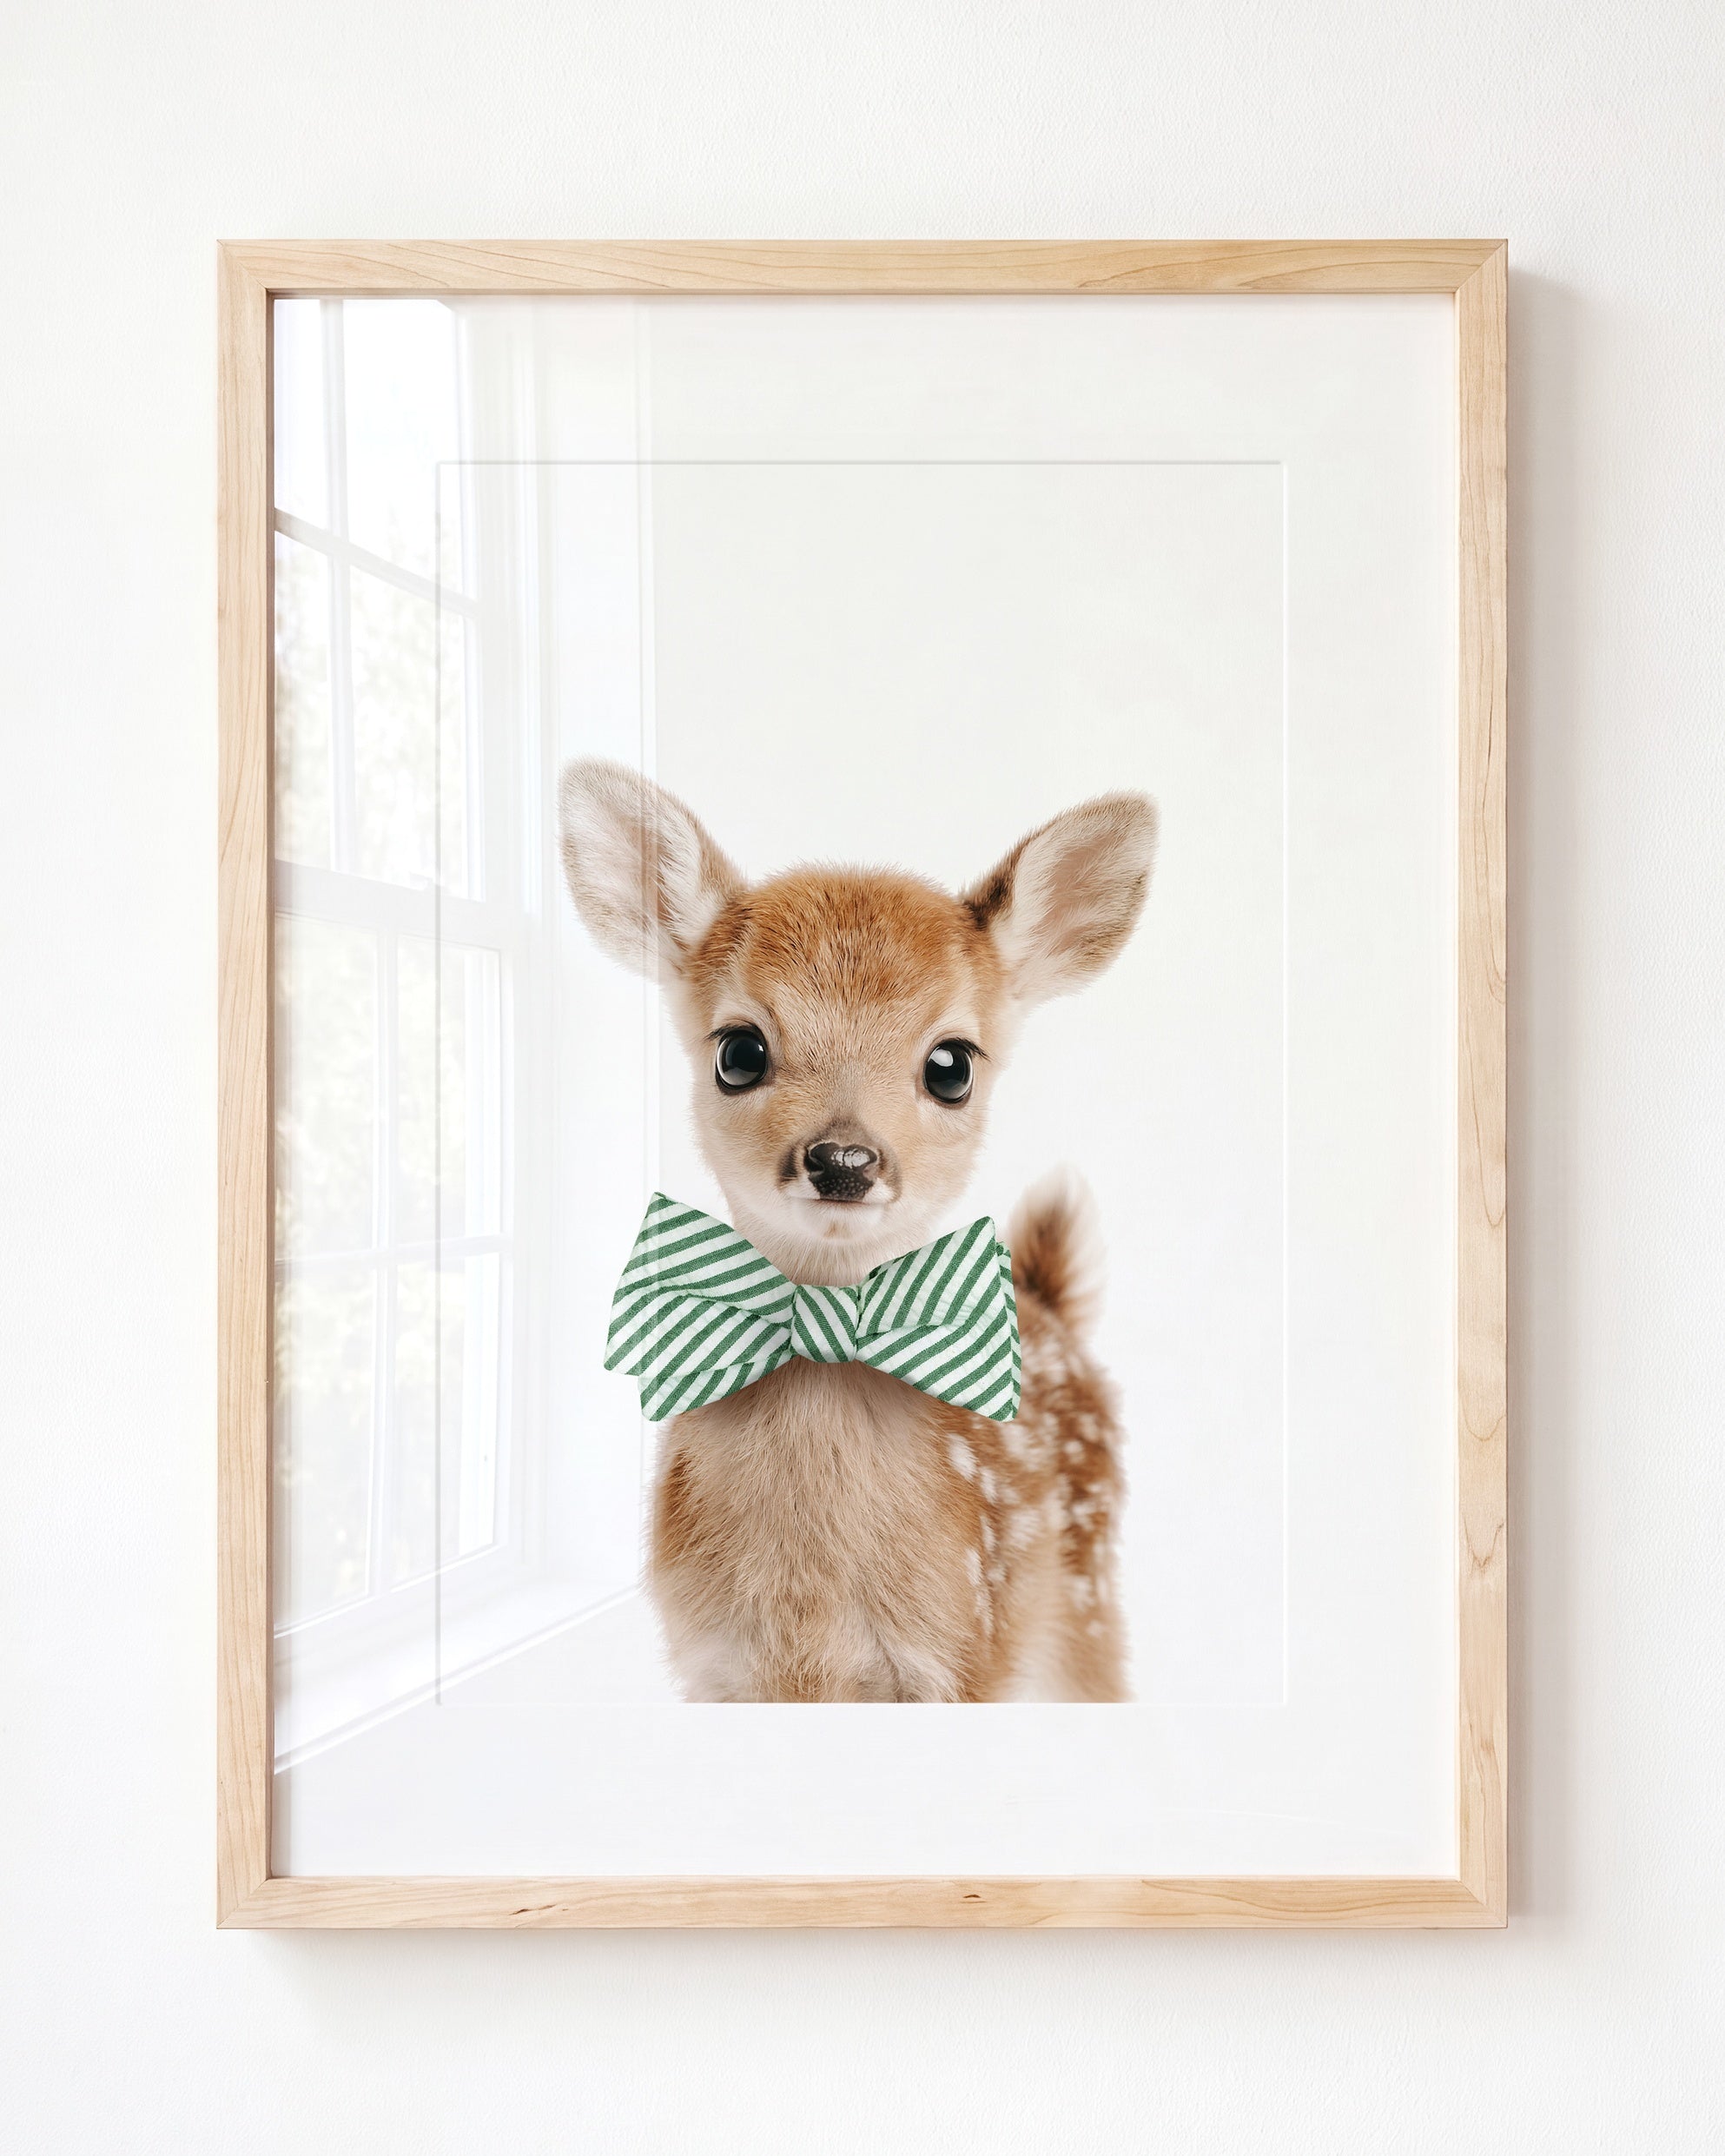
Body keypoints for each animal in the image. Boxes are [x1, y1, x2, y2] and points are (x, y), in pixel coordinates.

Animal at [558, 758, 1157, 1701]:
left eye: (951, 1065)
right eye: (738, 1051)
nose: (843, 1158)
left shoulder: (962, 1655)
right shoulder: (713, 1666)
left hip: (1085, 1605)